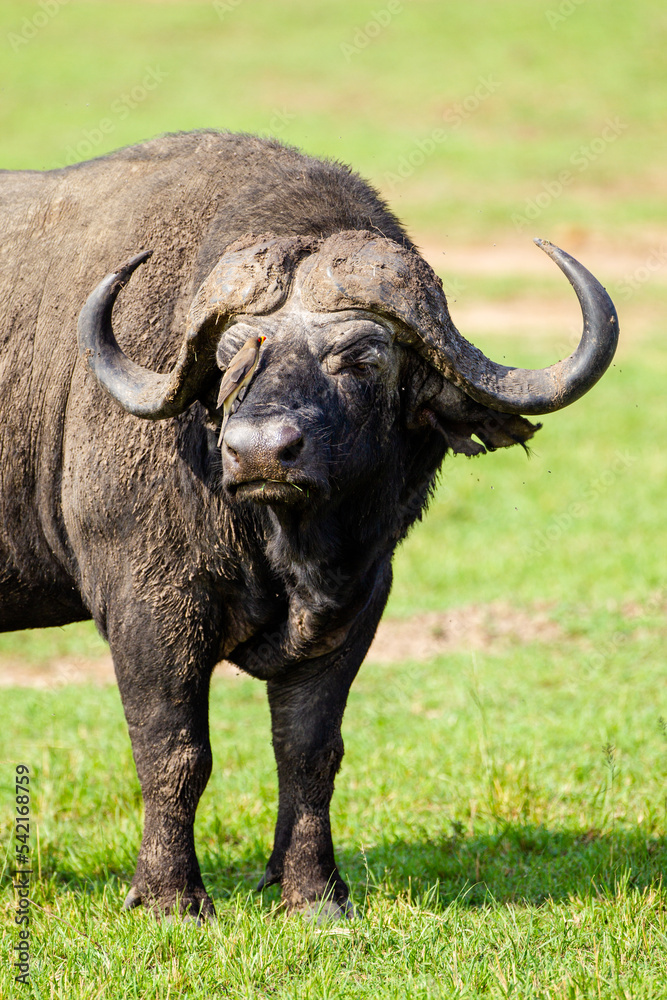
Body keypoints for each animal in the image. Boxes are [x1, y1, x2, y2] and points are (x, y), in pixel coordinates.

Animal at [0, 131, 618, 920]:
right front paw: (170, 898)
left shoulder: (359, 600)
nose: (261, 451)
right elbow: (174, 753)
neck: (279, 543)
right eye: (232, 354)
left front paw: (314, 893)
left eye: (361, 356)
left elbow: (309, 752)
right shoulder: (147, 607)